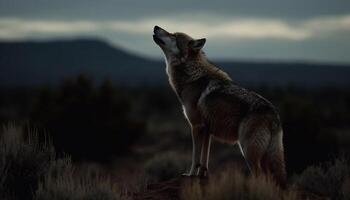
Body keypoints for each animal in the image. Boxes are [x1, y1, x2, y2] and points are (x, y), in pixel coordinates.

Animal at [153, 25, 288, 187]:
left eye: (173, 35)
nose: (155, 26)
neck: (190, 76)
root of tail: (273, 114)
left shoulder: (196, 126)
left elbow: (195, 157)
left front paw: (190, 175)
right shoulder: (207, 131)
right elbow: (204, 159)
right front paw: (201, 176)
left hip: (247, 150)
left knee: (260, 176)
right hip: (263, 156)